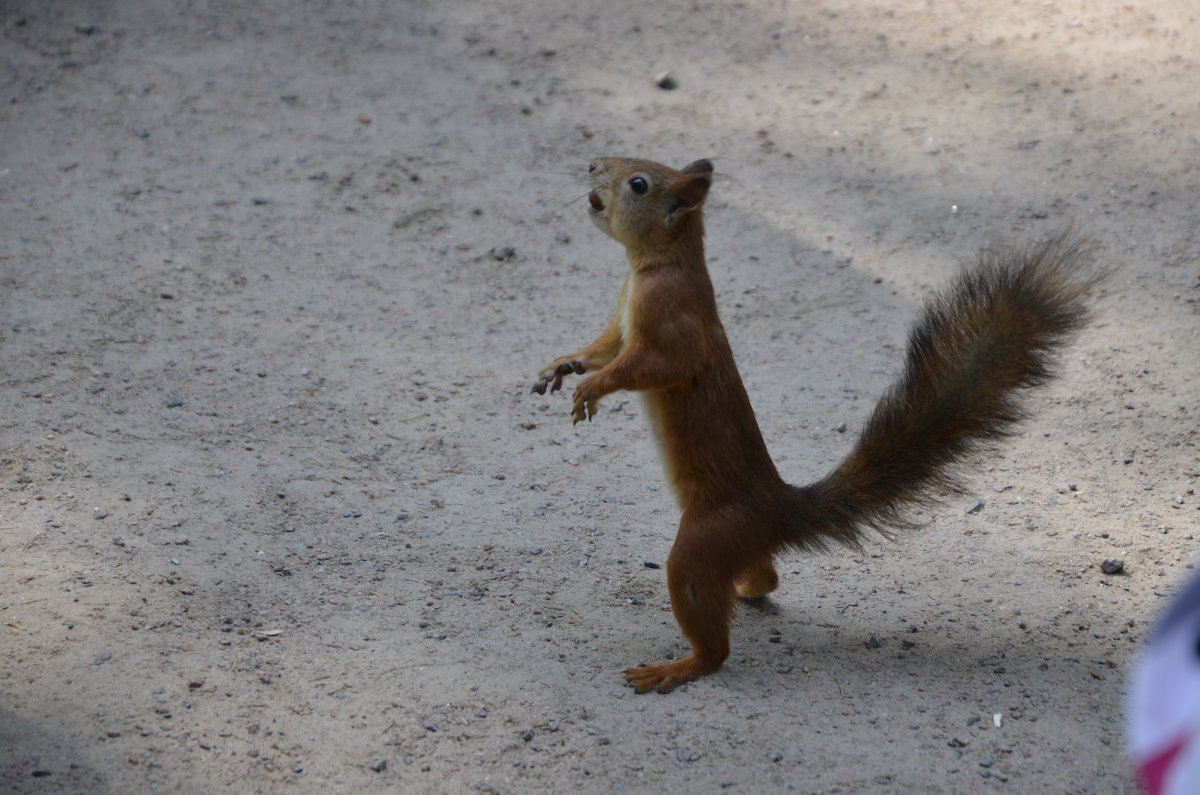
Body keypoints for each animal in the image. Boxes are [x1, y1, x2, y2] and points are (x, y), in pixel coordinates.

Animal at [535, 158, 1104, 696]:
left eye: (639, 184)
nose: (591, 166)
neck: (652, 266)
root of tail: (776, 509)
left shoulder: (670, 322)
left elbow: (646, 366)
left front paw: (592, 390)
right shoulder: (620, 319)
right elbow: (602, 348)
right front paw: (562, 366)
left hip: (703, 542)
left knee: (713, 639)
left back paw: (681, 666)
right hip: (728, 547)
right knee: (765, 574)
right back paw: (744, 593)